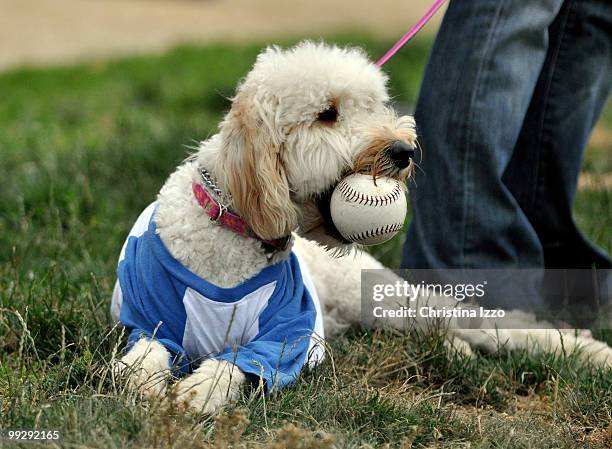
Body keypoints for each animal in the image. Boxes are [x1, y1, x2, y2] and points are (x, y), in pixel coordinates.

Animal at [111, 41, 612, 412]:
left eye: (374, 106)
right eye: (327, 113)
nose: (404, 151)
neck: (231, 231)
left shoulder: (287, 333)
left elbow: (238, 360)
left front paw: (202, 390)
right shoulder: (146, 320)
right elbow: (142, 355)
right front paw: (144, 384)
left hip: (384, 298)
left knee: (494, 324)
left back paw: (588, 351)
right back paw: (456, 352)